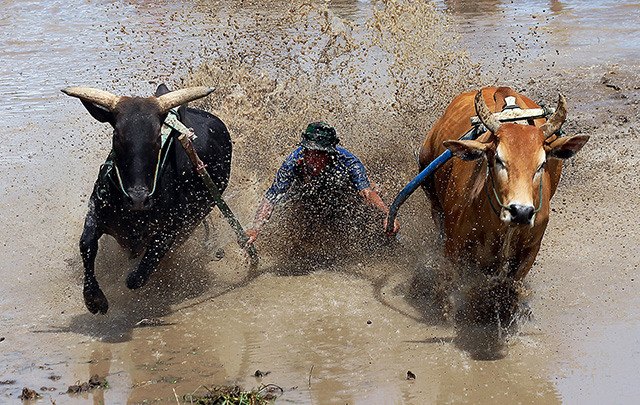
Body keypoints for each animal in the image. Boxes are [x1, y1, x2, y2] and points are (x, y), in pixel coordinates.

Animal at [63, 84, 232, 314]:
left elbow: (138, 275)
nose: (138, 198)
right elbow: (86, 244)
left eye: (157, 137)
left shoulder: (171, 229)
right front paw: (93, 299)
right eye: (117, 135)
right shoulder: (96, 210)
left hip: (195, 219)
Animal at [418, 87, 588, 323]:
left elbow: (510, 288)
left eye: (541, 164)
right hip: (429, 186)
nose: (521, 212)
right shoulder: (453, 247)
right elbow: (449, 290)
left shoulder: (529, 251)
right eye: (498, 159)